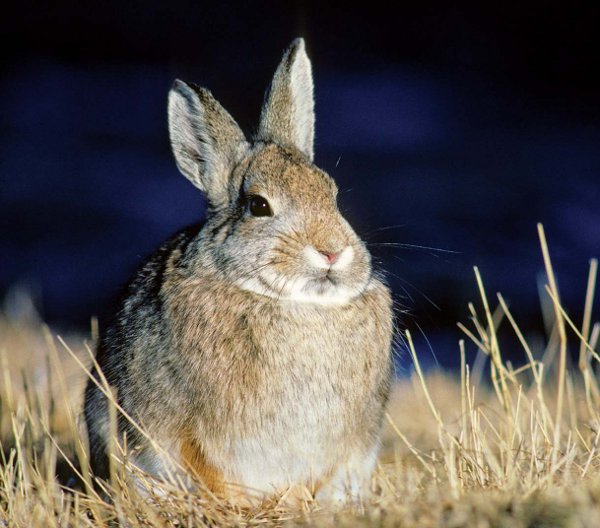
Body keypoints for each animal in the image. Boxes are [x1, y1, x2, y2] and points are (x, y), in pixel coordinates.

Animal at [84, 39, 394, 506]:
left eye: (332, 194)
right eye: (258, 206)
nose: (331, 252)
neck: (292, 304)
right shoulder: (193, 436)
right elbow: (208, 469)